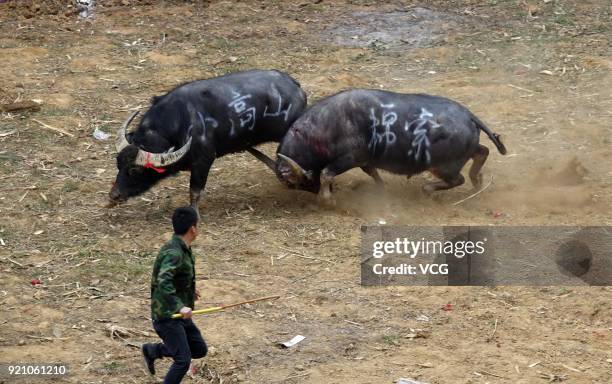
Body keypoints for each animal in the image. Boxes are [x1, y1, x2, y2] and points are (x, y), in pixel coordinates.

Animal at [109, 70, 306, 212]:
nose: (114, 195)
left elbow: (194, 192)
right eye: (118, 164)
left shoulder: (203, 161)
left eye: (134, 170)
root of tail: (296, 87)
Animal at [252, 89, 506, 206]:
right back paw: (477, 180)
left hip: (442, 167)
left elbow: (326, 173)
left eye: (297, 182)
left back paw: (430, 189)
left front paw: (327, 199)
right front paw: (381, 191)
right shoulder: (365, 161)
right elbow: (373, 174)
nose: (313, 190)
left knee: (458, 179)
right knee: (482, 152)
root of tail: (469, 116)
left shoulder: (348, 159)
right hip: (465, 153)